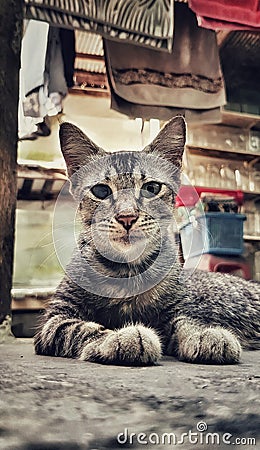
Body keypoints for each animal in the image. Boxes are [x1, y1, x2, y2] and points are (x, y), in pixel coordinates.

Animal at [35, 116, 260, 366]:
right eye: (101, 191)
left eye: (151, 188)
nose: (127, 216)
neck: (127, 272)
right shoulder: (55, 319)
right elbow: (80, 329)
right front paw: (121, 338)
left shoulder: (176, 306)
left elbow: (185, 320)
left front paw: (203, 334)